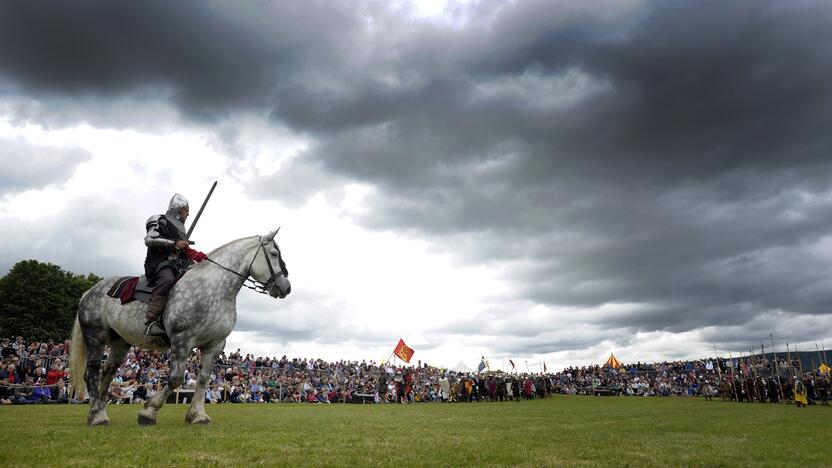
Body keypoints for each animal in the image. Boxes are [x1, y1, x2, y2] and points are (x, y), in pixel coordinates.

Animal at [71, 230, 292, 424]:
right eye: (274, 254)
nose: (286, 287)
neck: (213, 290)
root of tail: (89, 291)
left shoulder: (215, 345)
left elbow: (203, 379)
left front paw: (197, 415)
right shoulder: (182, 340)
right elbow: (176, 379)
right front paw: (149, 411)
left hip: (120, 344)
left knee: (107, 373)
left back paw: (99, 412)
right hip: (96, 337)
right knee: (92, 372)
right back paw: (96, 415)